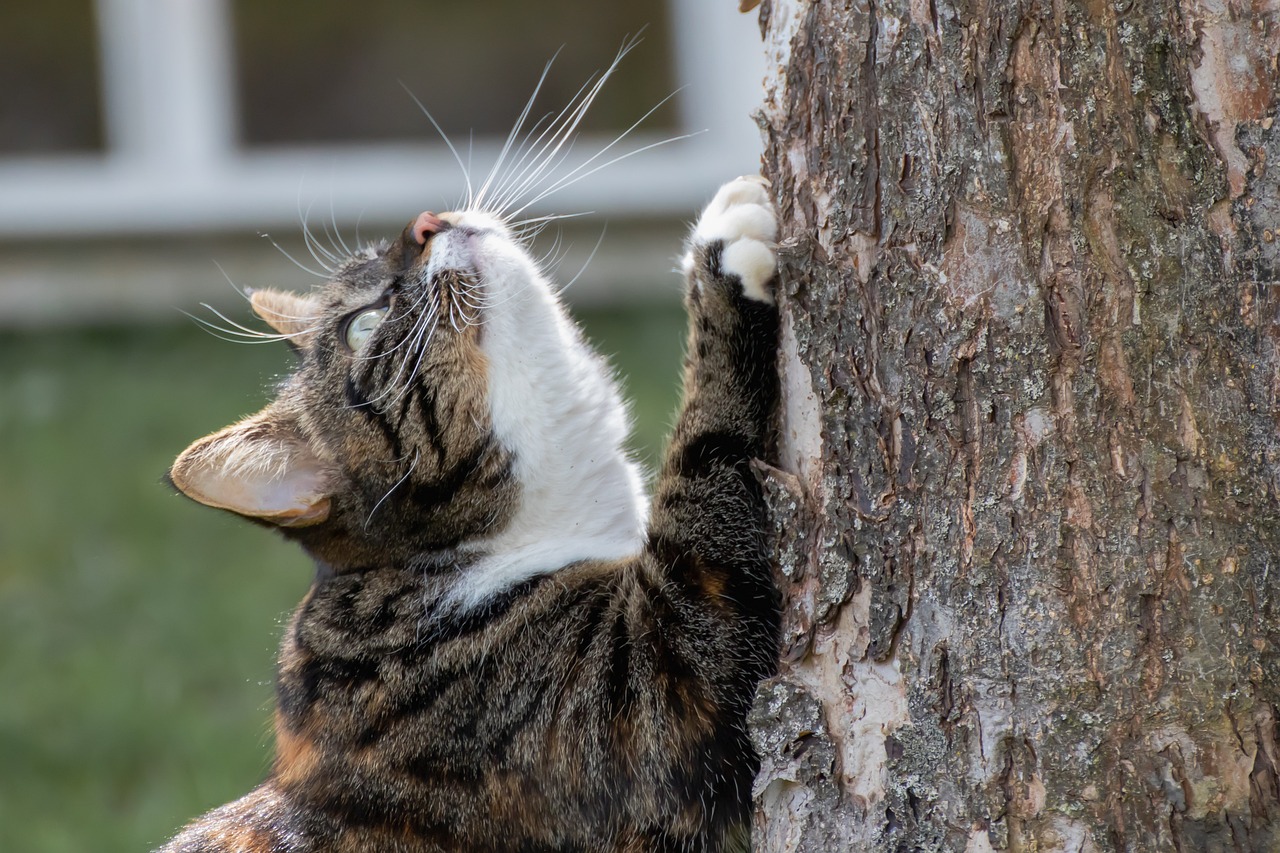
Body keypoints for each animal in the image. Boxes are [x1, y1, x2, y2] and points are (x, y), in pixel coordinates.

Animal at [157, 174, 778, 850]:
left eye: (379, 251)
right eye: (363, 326)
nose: (420, 225)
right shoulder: (651, 697)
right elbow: (711, 485)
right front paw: (723, 257)